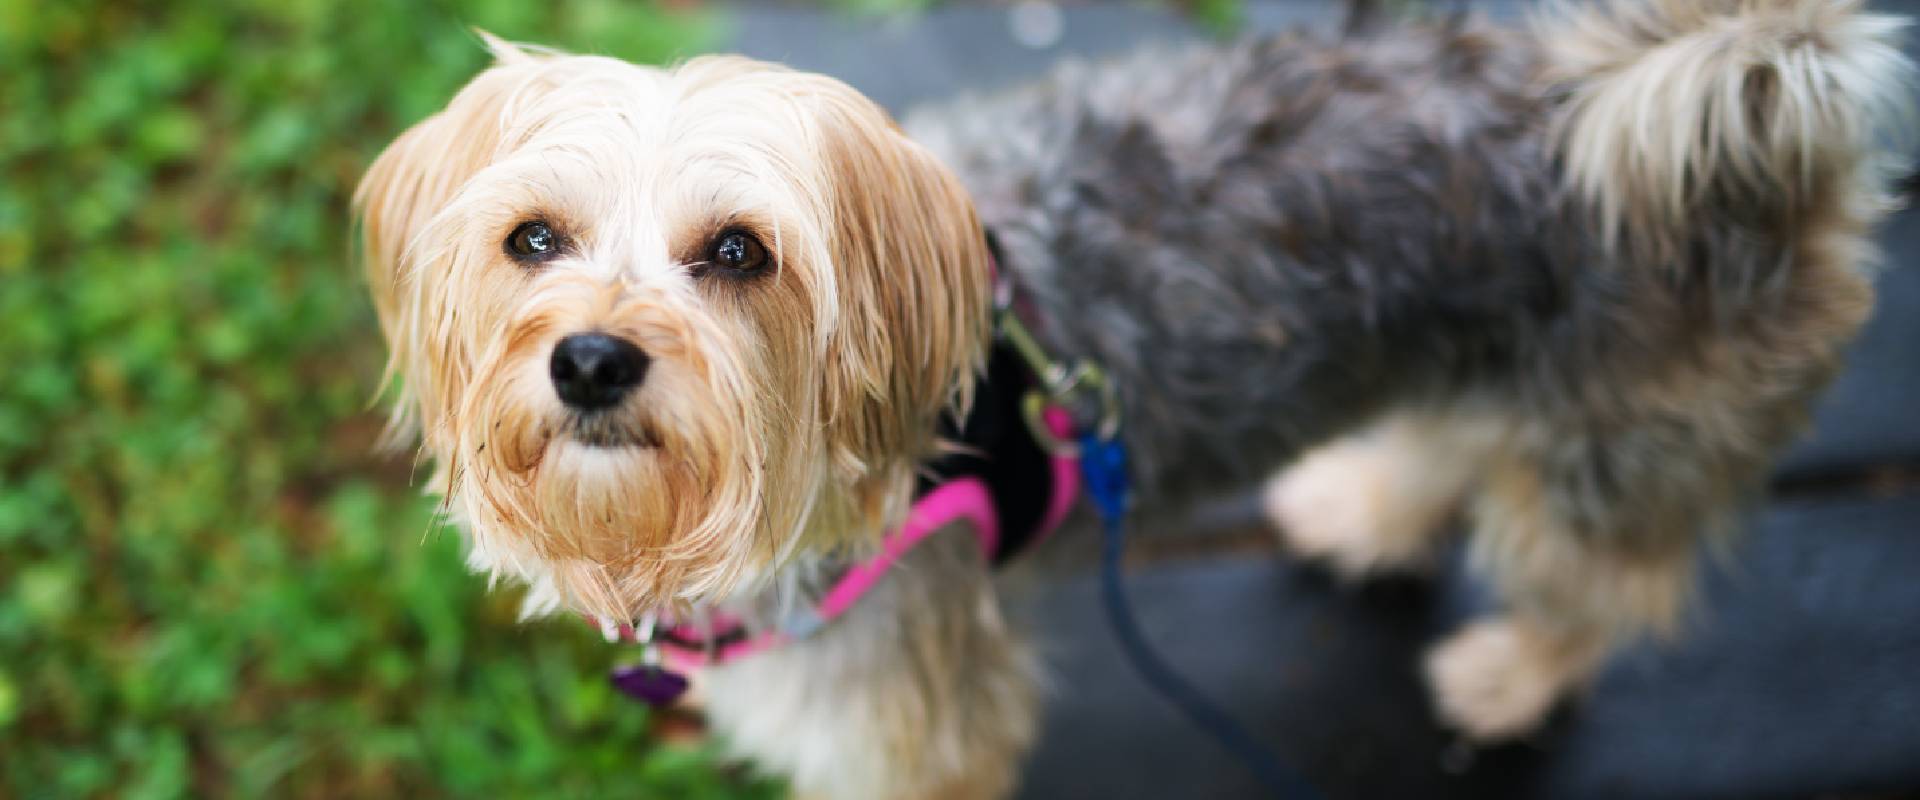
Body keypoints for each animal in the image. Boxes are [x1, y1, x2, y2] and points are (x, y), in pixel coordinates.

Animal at [353, 1, 1912, 790]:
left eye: (738, 253)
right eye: (532, 240)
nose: (590, 359)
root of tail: (1761, 88)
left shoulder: (917, 729)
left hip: (1623, 430)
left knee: (1602, 574)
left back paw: (1508, 674)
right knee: (1448, 440)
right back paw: (1365, 512)